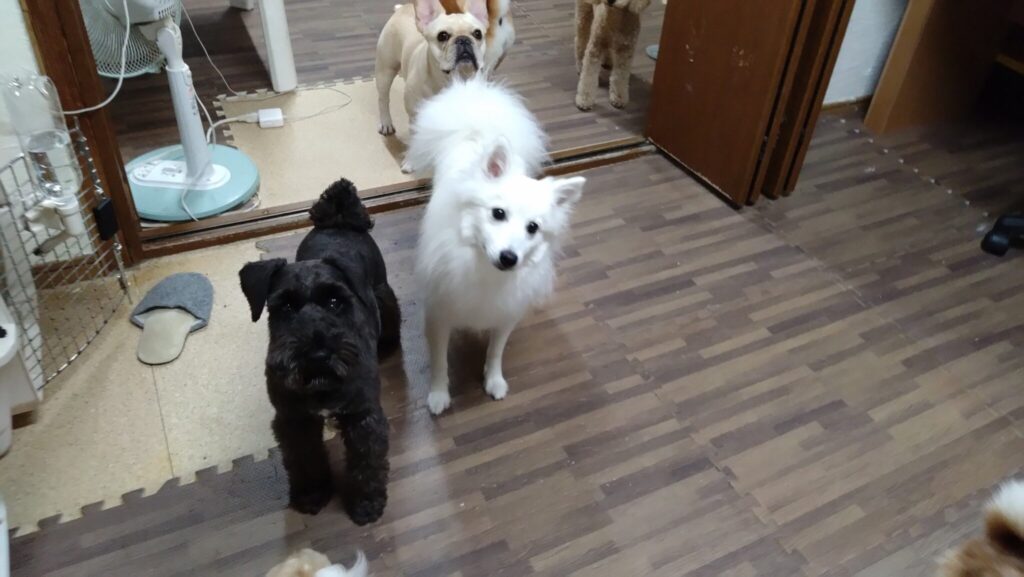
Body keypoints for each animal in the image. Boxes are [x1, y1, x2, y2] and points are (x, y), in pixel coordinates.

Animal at [239, 179, 400, 525]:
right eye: (285, 306)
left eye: (335, 301)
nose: (316, 357)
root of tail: (338, 221)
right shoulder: (294, 420)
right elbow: (305, 461)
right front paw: (312, 494)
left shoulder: (362, 416)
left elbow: (367, 463)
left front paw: (367, 503)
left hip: (383, 292)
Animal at [375, 0, 489, 137]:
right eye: (442, 36)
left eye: (478, 34)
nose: (463, 39)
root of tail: (401, 9)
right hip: (385, 70)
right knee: (383, 99)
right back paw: (386, 123)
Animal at [405, 75, 585, 415]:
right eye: (498, 214)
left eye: (533, 228)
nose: (509, 257)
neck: (483, 269)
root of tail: (477, 128)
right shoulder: (439, 314)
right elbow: (439, 362)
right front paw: (438, 395)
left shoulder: (506, 314)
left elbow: (495, 352)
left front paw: (494, 381)